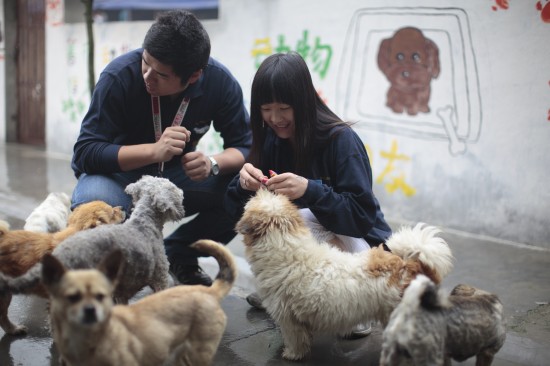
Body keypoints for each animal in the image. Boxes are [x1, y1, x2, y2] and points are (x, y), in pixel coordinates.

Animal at [235, 190, 454, 362]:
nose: (262, 186)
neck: (285, 248)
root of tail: (411, 265)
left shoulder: (288, 318)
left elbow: (295, 339)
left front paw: (292, 354)